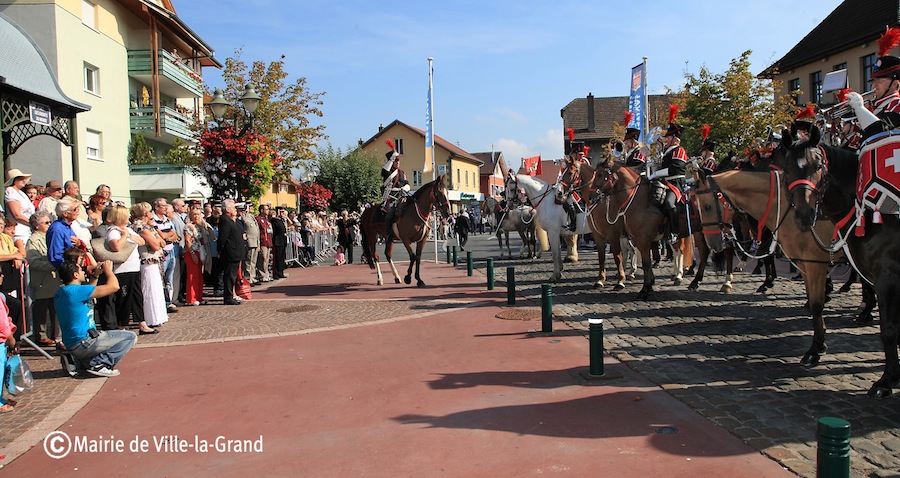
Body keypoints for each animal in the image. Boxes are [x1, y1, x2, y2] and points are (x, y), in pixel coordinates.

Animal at [780, 124, 900, 400]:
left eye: (817, 166)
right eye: (787, 168)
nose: (804, 216)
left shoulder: (887, 277)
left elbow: (889, 329)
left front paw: (887, 380)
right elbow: (816, 306)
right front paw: (815, 350)